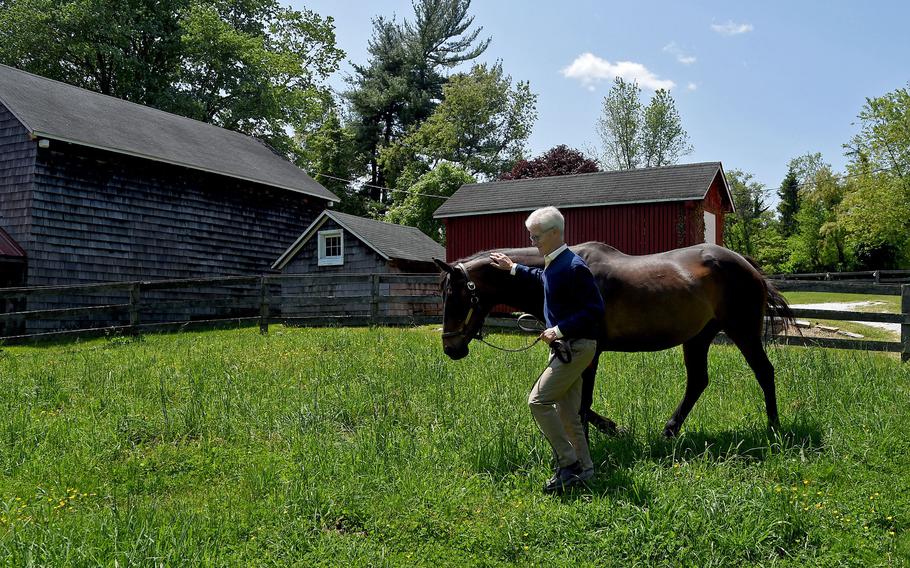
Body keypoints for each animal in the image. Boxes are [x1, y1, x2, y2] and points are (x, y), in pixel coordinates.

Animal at [438, 242, 796, 438]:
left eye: (457, 296)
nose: (450, 347)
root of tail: (748, 266)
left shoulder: (590, 352)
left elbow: (583, 404)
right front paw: (614, 428)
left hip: (742, 331)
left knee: (764, 372)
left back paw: (774, 429)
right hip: (697, 337)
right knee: (698, 381)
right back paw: (669, 431)